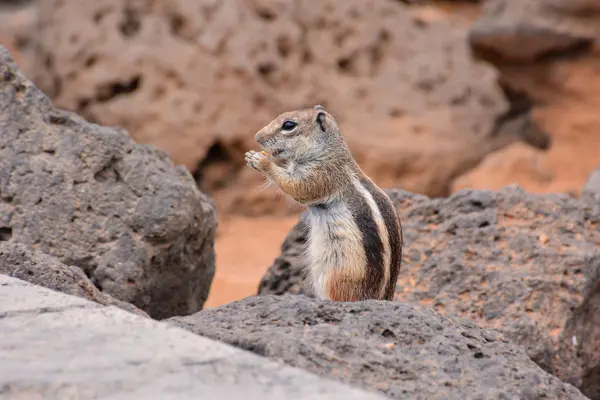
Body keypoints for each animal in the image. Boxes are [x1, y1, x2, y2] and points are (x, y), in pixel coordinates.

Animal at [244, 104, 404, 302]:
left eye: (289, 125)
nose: (257, 137)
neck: (328, 151)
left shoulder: (322, 175)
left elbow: (297, 188)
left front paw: (262, 161)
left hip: (336, 278)